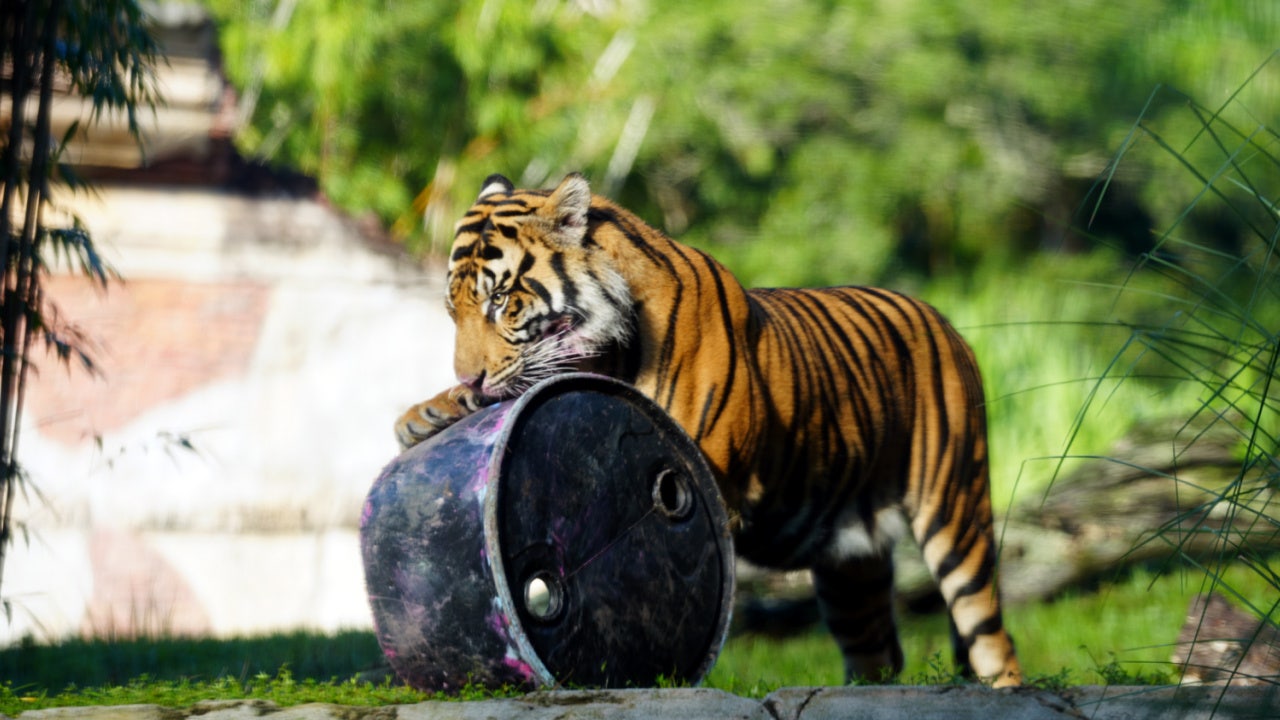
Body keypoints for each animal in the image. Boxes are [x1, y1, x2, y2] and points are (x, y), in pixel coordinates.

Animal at [395, 172, 1023, 687]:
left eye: (502, 301)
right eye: (454, 310)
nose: (469, 375)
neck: (612, 350)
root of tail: (946, 321)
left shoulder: (708, 477)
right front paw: (427, 412)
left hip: (955, 511)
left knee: (992, 638)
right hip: (851, 567)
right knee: (879, 656)